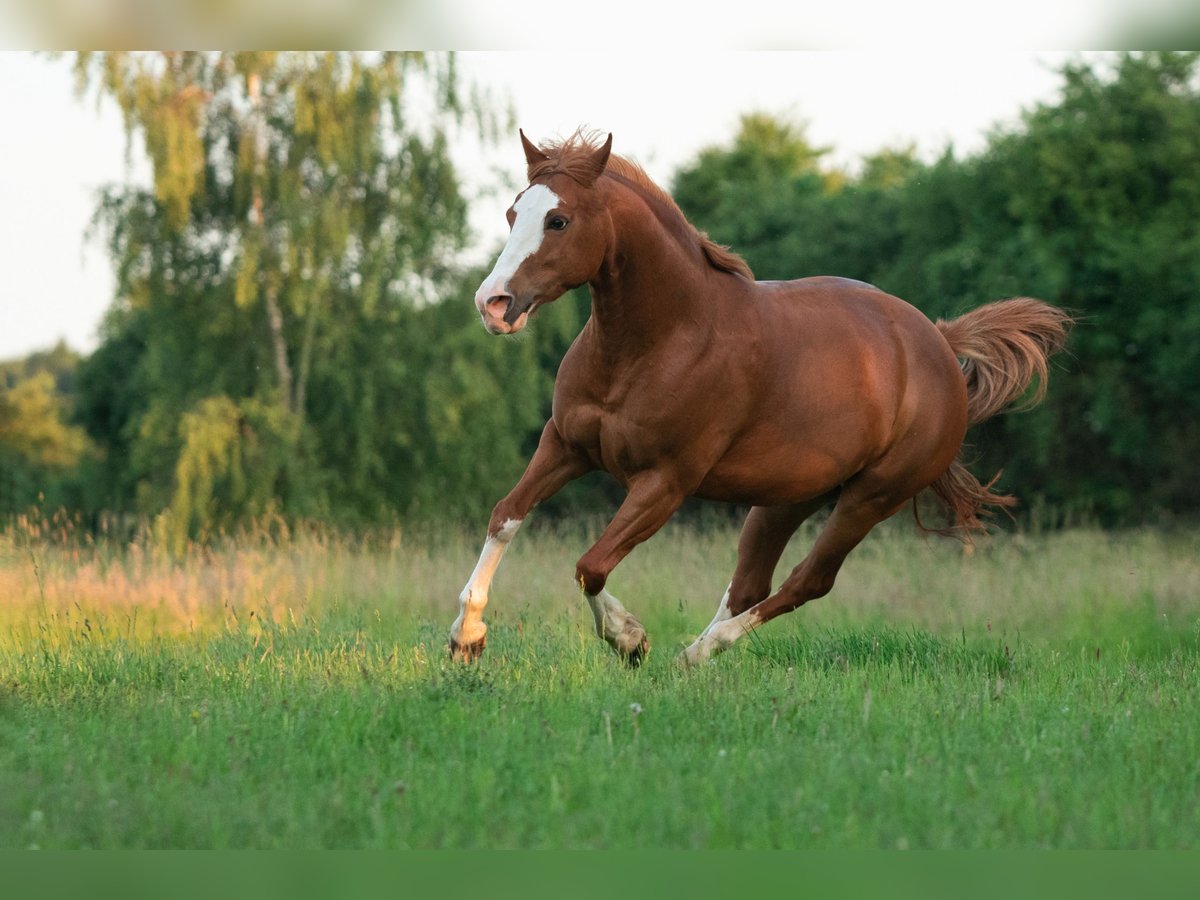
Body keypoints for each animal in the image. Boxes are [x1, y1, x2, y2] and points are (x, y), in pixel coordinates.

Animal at [448, 132, 1070, 672]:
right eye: (513, 214)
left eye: (558, 220)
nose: (492, 304)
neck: (661, 339)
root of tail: (940, 344)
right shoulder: (565, 445)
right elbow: (505, 516)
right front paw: (467, 637)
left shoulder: (665, 481)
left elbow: (590, 565)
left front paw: (629, 640)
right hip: (787, 497)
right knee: (753, 582)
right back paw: (693, 655)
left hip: (871, 497)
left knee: (807, 582)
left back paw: (699, 652)